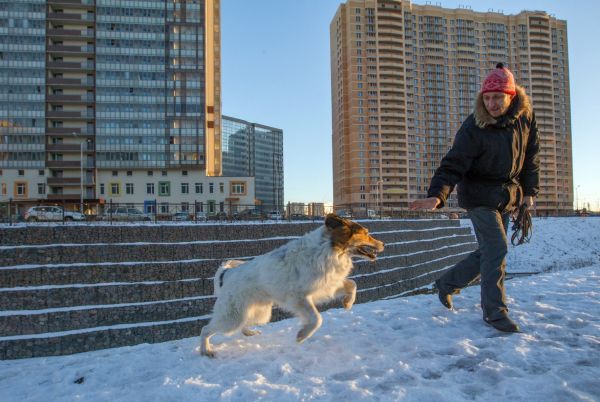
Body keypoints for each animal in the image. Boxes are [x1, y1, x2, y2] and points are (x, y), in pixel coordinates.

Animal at [197, 214, 384, 358]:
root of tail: (227, 273)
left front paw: (348, 303)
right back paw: (206, 350)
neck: (330, 248)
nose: (383, 244)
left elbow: (352, 284)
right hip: (232, 317)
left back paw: (249, 332)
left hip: (259, 313)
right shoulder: (299, 298)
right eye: (366, 233)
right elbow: (317, 319)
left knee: (244, 324)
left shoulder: (328, 285)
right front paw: (302, 336)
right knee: (205, 329)